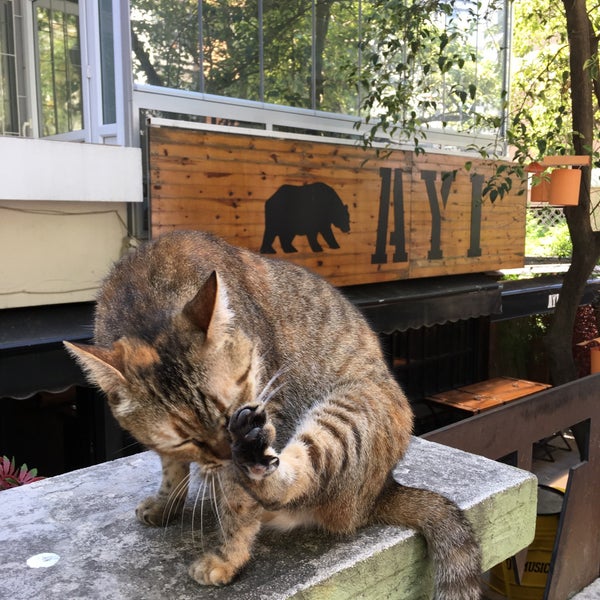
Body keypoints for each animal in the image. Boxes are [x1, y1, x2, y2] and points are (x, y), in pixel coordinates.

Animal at [65, 231, 480, 600]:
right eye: (187, 438)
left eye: (232, 407)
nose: (228, 454)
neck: (145, 297)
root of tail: (381, 493)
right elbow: (172, 469)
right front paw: (167, 503)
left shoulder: (268, 405)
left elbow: (238, 506)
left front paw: (227, 558)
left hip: (348, 413)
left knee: (289, 481)